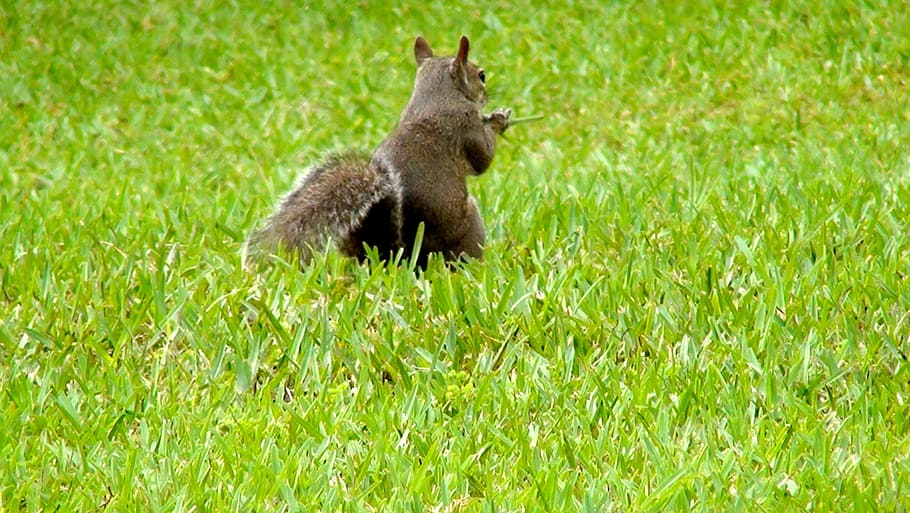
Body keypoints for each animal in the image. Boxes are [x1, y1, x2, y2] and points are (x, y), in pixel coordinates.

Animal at [243, 35, 512, 269]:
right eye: (481, 75)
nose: (487, 96)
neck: (435, 96)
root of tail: (398, 257)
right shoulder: (466, 126)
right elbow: (483, 159)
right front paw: (499, 120)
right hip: (469, 222)